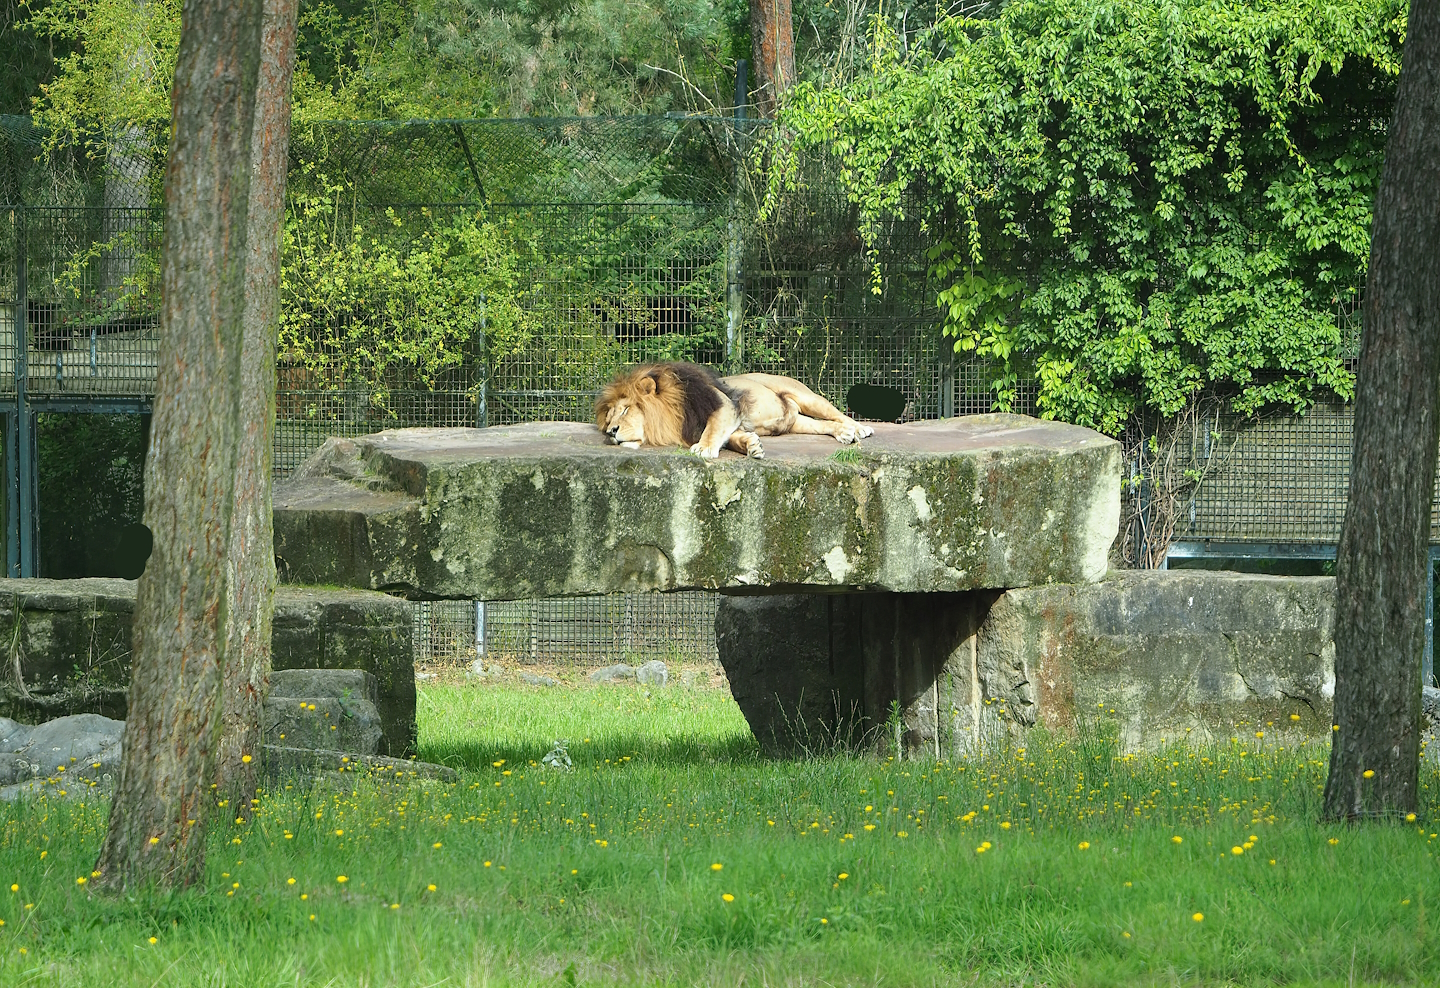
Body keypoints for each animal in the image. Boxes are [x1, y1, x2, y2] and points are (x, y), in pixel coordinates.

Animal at [595, 362, 874, 459]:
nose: (611, 432)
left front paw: (704, 449)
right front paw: (751, 445)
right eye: (608, 420)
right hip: (795, 422)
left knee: (836, 413)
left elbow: (713, 429)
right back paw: (844, 434)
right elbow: (730, 437)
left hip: (806, 396)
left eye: (625, 410)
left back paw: (859, 429)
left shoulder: (724, 405)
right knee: (825, 424)